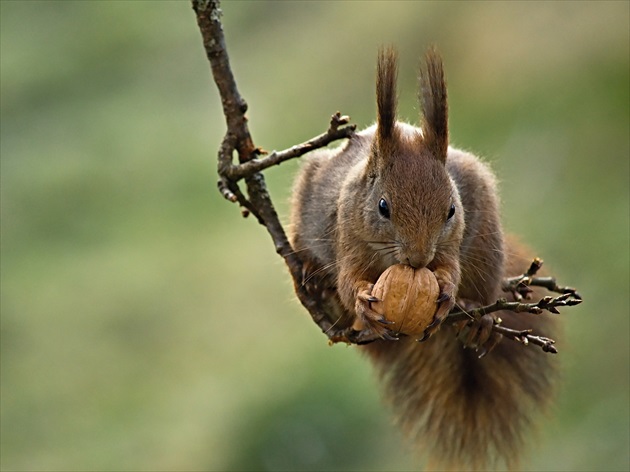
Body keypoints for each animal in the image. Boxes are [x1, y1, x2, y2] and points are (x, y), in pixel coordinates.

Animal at [288, 47, 556, 468]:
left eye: (450, 210)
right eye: (383, 207)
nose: (418, 259)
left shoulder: (451, 243)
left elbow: (450, 269)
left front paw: (446, 291)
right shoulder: (348, 237)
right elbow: (350, 280)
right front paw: (361, 302)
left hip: (486, 246)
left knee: (482, 290)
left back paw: (477, 316)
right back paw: (317, 284)